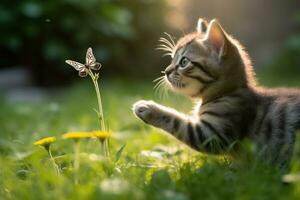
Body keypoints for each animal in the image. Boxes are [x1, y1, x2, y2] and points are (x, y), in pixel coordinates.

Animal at [134, 18, 300, 170]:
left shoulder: (213, 134)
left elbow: (177, 122)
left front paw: (148, 108)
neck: (227, 92)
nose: (166, 71)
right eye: (172, 59)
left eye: (183, 62)